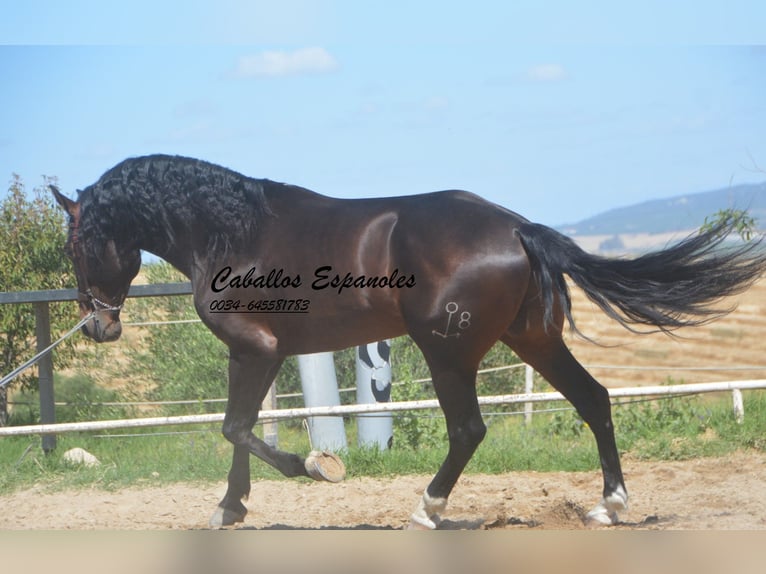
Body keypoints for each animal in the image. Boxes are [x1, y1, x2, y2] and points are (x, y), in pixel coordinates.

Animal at [51, 154, 764, 532]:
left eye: (76, 245)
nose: (99, 326)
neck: (232, 234)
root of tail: (516, 227)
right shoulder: (249, 355)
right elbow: (239, 431)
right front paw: (231, 509)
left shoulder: (257, 349)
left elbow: (236, 428)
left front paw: (317, 468)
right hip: (532, 340)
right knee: (595, 401)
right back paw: (608, 507)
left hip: (450, 353)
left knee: (470, 429)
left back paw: (428, 508)